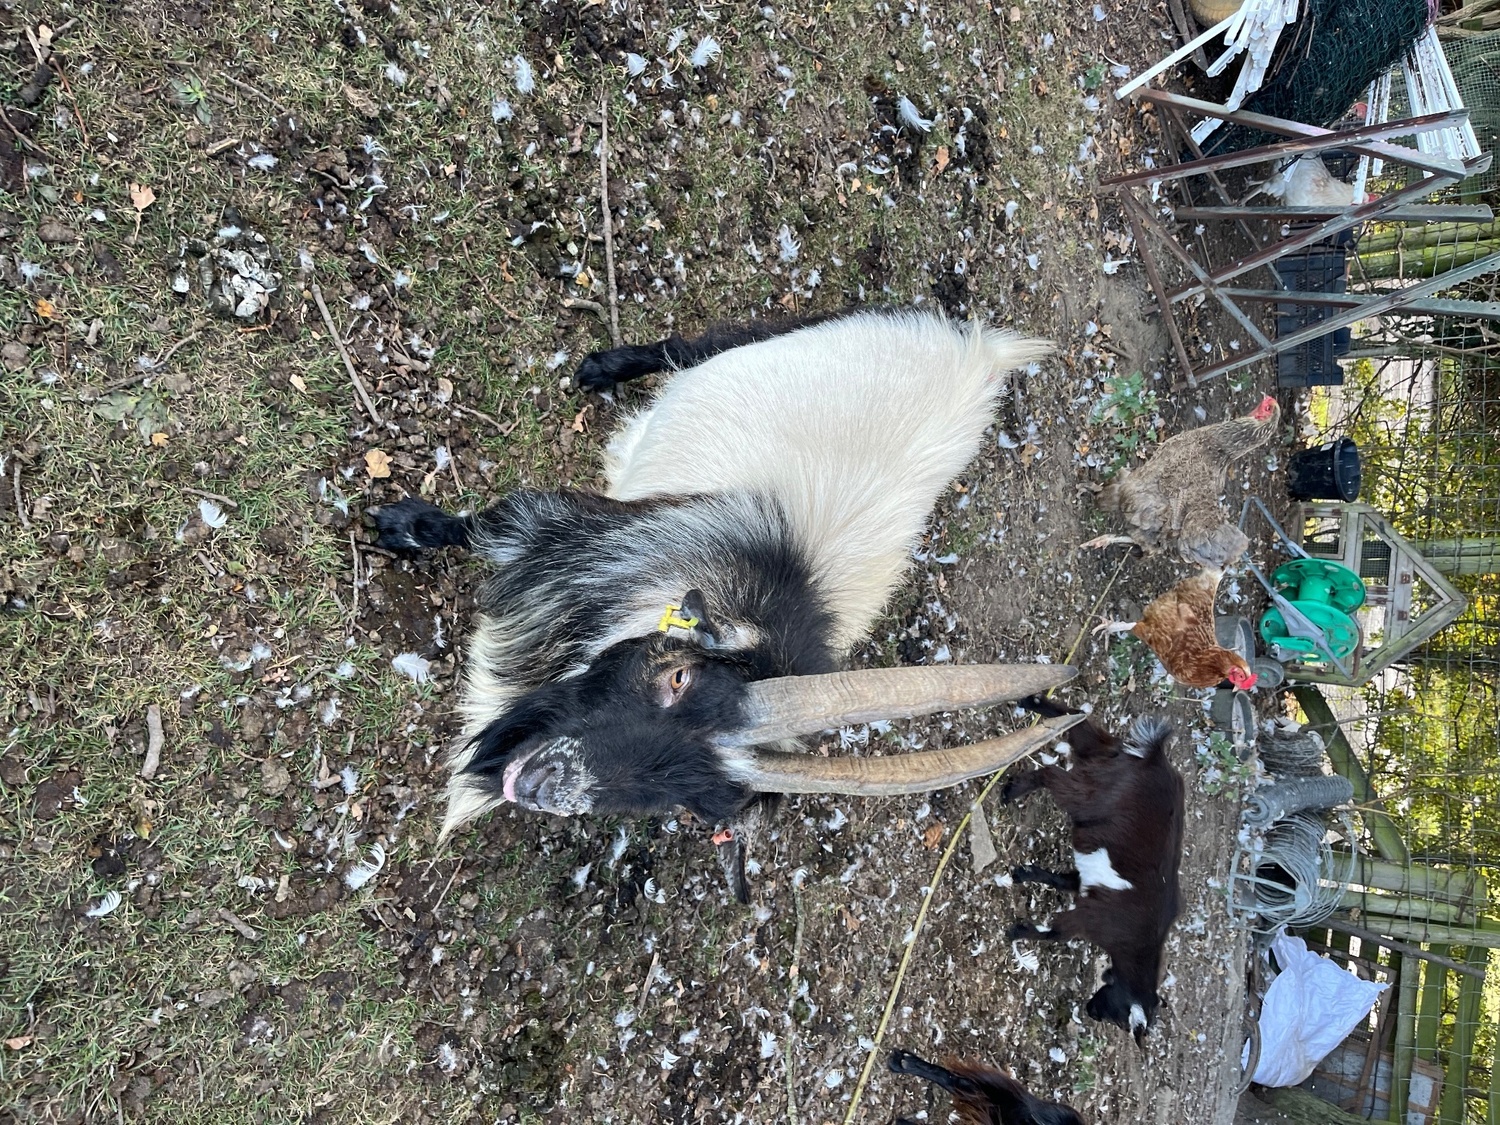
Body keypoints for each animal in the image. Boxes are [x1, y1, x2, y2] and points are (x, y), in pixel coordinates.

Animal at [372, 310, 1080, 892]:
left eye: (685, 804)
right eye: (678, 677)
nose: (545, 785)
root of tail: (981, 354)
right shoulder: (561, 530)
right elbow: (483, 524)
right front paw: (405, 527)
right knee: (695, 345)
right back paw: (600, 369)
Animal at [1000, 696, 1183, 1046]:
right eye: (1120, 1019)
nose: (1090, 1012)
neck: (1135, 945)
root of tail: (1154, 759)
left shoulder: (1087, 886)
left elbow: (1060, 880)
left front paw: (1023, 874)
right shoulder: (1091, 920)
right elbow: (1057, 933)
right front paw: (1018, 931)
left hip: (1104, 759)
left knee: (1079, 722)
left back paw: (1031, 702)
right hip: (1092, 794)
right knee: (1052, 773)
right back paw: (1011, 790)